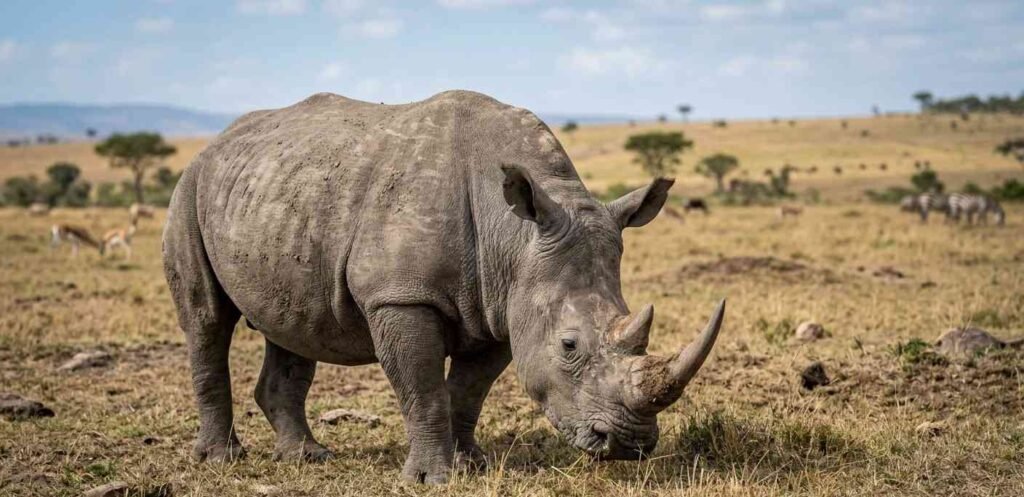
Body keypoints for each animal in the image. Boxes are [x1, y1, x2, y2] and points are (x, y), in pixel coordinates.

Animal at [162, 90, 724, 484]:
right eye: (569, 346)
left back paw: (309, 457)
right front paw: (433, 478)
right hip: (189, 188)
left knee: (294, 324)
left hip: (283, 196)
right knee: (206, 318)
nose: (629, 445)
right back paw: (221, 459)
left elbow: (468, 391)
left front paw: (471, 463)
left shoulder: (503, 306)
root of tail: (217, 142)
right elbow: (423, 387)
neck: (515, 236)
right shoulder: (401, 296)